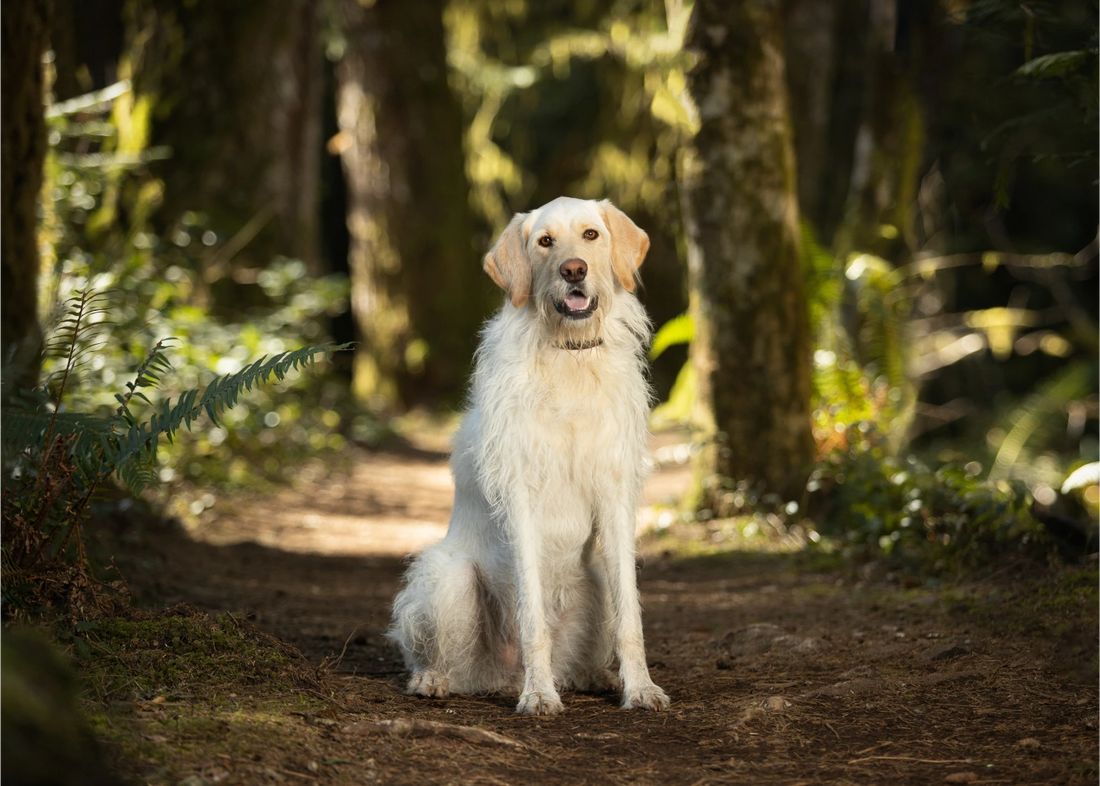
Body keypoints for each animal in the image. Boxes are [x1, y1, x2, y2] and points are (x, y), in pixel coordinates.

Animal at [391, 200, 673, 716]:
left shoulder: (616, 497)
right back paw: (434, 678)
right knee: (435, 655)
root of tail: (499, 677)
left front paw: (641, 687)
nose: (574, 270)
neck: (570, 357)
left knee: (587, 648)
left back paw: (594, 675)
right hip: (448, 579)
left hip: (596, 578)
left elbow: (632, 618)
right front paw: (539, 693)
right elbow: (532, 617)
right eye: (545, 241)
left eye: (590, 234)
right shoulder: (521, 501)